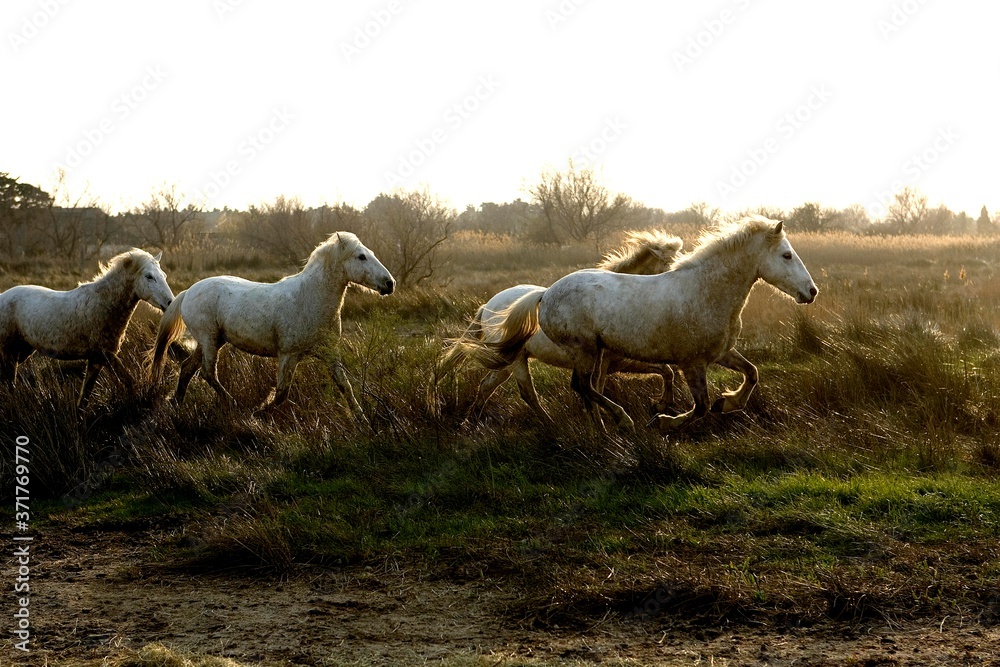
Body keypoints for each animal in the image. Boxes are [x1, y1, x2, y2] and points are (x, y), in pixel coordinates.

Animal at [0, 250, 175, 407]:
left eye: (164, 276)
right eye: (149, 276)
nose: (170, 303)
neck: (103, 305)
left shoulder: (95, 360)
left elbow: (85, 397)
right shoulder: (104, 355)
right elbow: (128, 381)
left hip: (22, 351)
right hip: (8, 353)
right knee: (9, 384)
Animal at [151, 232, 395, 418]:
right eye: (361, 256)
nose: (390, 283)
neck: (309, 299)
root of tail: (188, 292)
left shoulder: (330, 353)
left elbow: (346, 387)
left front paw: (362, 419)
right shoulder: (289, 355)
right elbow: (281, 394)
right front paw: (258, 413)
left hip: (211, 341)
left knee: (188, 368)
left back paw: (176, 403)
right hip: (209, 339)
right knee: (207, 373)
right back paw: (233, 404)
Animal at [437, 230, 683, 425]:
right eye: (671, 265)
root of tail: (488, 306)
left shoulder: (622, 362)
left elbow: (666, 371)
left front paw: (660, 406)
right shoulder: (605, 363)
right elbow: (595, 390)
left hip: (505, 362)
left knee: (486, 386)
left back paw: (471, 422)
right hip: (517, 361)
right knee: (527, 393)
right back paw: (551, 424)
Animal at [475, 217, 817, 432]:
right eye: (787, 255)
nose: (811, 292)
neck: (704, 291)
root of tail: (544, 294)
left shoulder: (720, 353)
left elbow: (752, 373)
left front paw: (729, 403)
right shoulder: (691, 362)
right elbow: (701, 406)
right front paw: (663, 420)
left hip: (587, 353)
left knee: (577, 388)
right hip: (582, 351)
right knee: (577, 387)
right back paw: (620, 421)